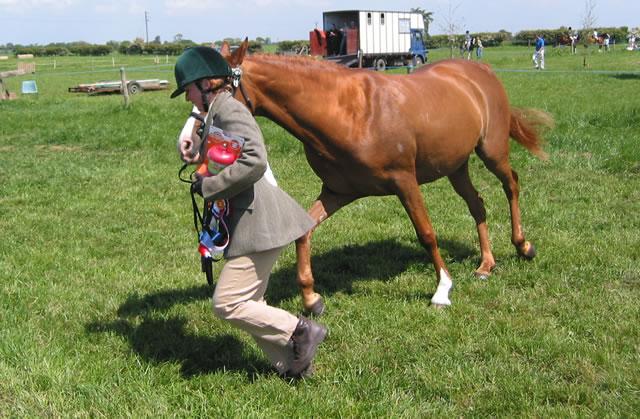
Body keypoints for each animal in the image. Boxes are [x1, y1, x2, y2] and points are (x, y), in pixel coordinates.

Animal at [215, 41, 552, 314]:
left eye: (218, 86)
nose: (202, 133)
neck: (348, 112)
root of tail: (482, 70)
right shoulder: (337, 192)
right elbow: (304, 232)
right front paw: (311, 299)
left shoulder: (405, 183)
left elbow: (426, 234)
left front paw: (442, 290)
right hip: (456, 166)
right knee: (477, 203)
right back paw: (486, 264)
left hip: (492, 151)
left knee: (511, 184)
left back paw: (523, 246)